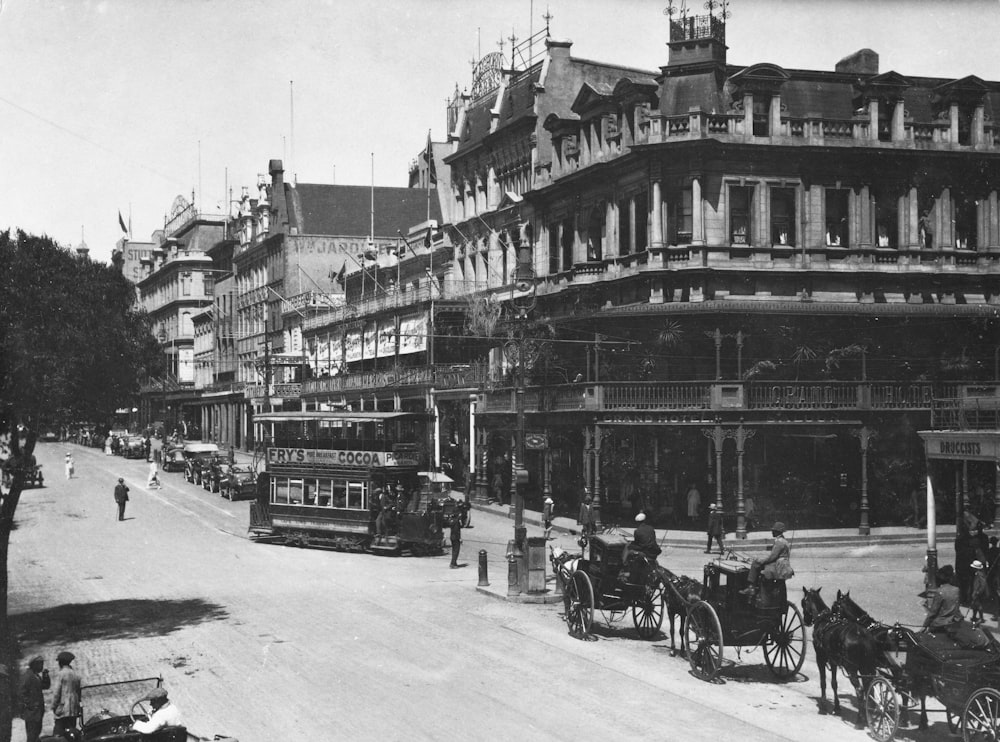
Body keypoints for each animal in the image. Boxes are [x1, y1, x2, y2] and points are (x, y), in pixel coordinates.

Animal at [800, 588, 880, 728]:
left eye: (803, 602)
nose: (806, 621)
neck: (824, 620)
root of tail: (862, 635)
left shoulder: (820, 658)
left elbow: (823, 682)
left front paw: (823, 707)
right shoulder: (833, 662)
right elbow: (834, 683)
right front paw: (837, 707)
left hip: (852, 668)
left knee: (860, 690)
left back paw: (860, 720)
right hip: (867, 667)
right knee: (868, 689)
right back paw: (868, 715)